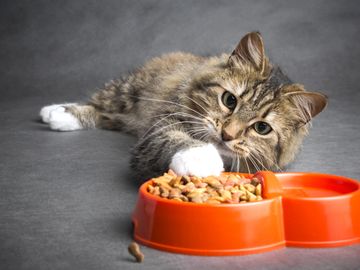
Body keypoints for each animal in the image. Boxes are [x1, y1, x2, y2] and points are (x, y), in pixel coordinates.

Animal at [39, 32, 326, 179]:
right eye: (229, 100)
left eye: (262, 128)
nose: (227, 134)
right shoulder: (159, 127)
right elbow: (174, 138)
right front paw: (199, 157)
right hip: (127, 91)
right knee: (99, 105)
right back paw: (57, 112)